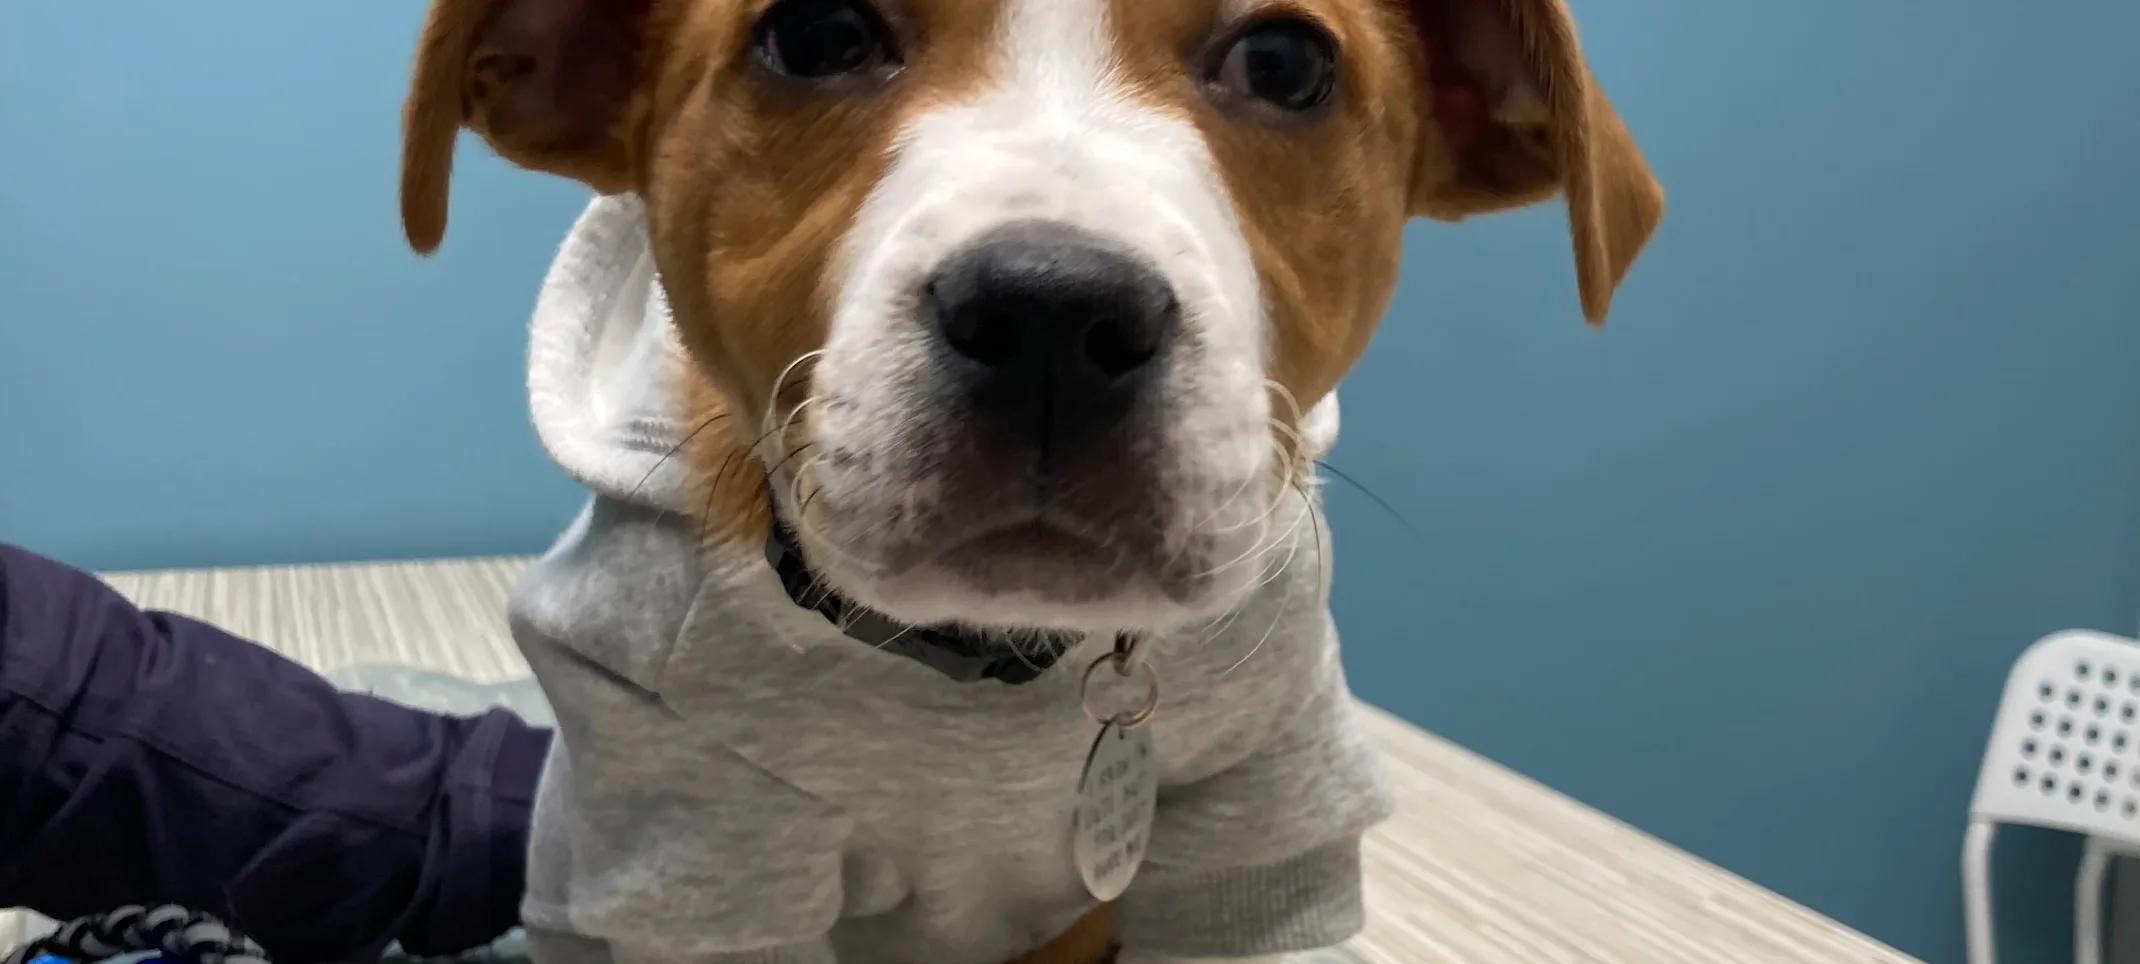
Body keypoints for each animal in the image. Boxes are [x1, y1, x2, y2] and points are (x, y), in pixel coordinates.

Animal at [402, 0, 1660, 959]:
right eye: (815, 34)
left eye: (1283, 61)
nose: (1054, 312)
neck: (998, 652)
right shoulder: (690, 839)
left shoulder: (1266, 808)